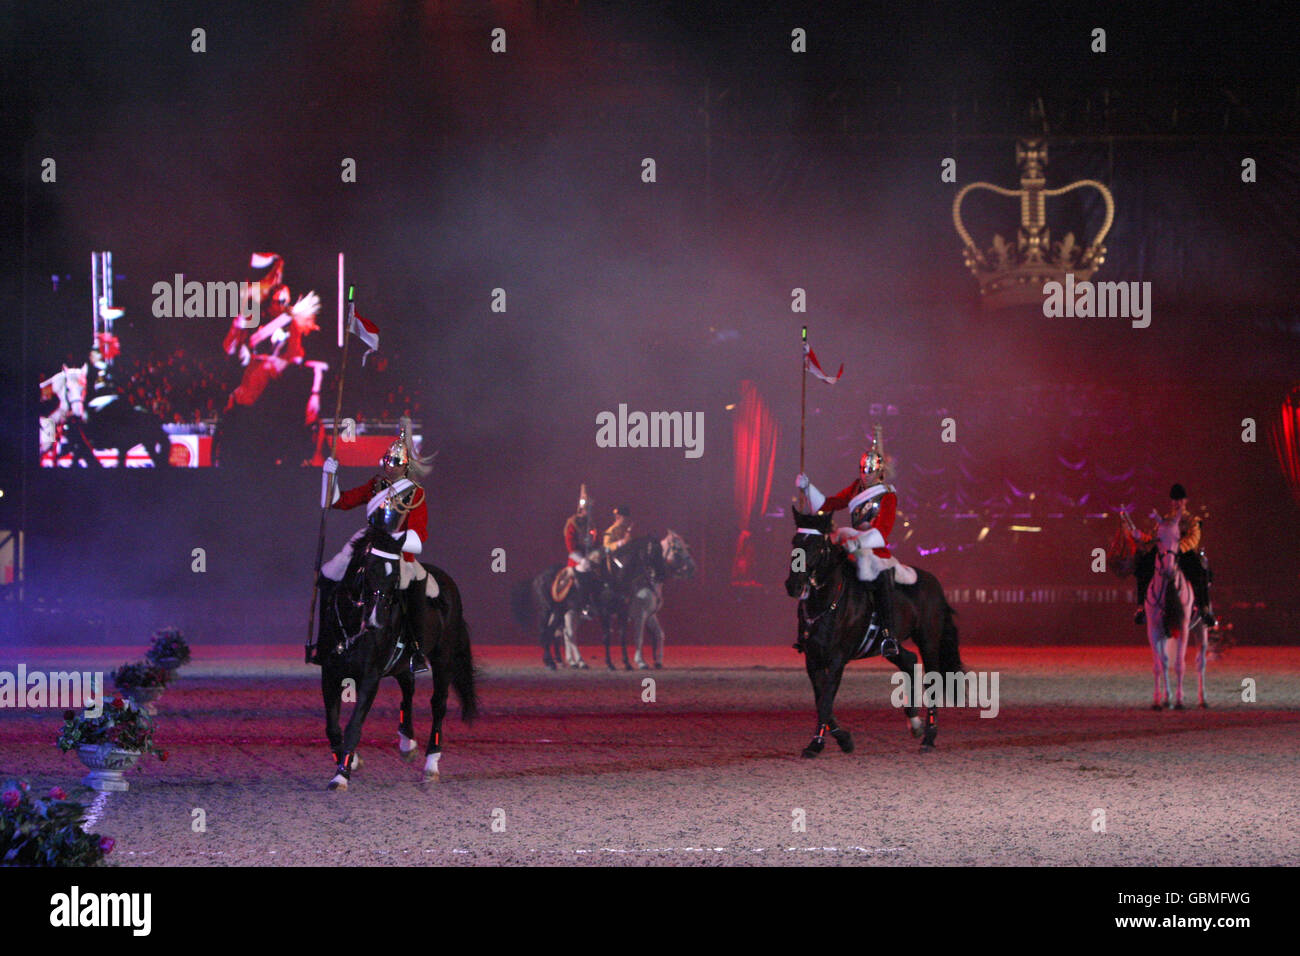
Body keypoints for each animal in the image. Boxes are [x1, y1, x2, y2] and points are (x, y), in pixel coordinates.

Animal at [317, 528, 480, 790]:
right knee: (408, 690)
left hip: (443, 659)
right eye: (367, 570)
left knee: (438, 704)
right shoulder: (330, 673)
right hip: (403, 664)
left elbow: (354, 726)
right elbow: (332, 726)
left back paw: (431, 765)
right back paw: (407, 743)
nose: (376, 621)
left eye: (395, 578)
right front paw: (350, 761)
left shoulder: (370, 678)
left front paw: (341, 774)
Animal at [780, 509, 967, 754]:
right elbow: (821, 701)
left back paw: (929, 737)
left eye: (819, 545)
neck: (827, 602)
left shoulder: (838, 659)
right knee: (909, 659)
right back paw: (915, 722)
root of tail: (934, 583)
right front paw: (843, 738)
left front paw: (816, 744)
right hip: (890, 646)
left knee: (932, 680)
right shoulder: (813, 659)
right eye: (795, 542)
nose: (793, 585)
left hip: (928, 640)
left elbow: (826, 699)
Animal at [1149, 515, 1206, 712]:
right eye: (1158, 538)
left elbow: (1180, 664)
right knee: (1166, 662)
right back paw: (1167, 699)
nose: (1168, 570)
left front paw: (1180, 701)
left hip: (1201, 629)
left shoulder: (1183, 628)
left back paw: (1202, 700)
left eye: (1178, 538)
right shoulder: (1154, 630)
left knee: (1200, 662)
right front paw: (1159, 701)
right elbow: (1159, 665)